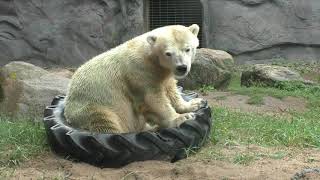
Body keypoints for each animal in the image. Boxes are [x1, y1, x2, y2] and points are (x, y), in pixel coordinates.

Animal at [60, 24, 205, 132]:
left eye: (188, 49)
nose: (182, 67)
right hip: (93, 107)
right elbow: (153, 99)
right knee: (106, 122)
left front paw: (194, 104)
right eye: (168, 53)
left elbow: (171, 90)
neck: (151, 59)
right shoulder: (140, 73)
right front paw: (181, 118)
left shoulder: (162, 74)